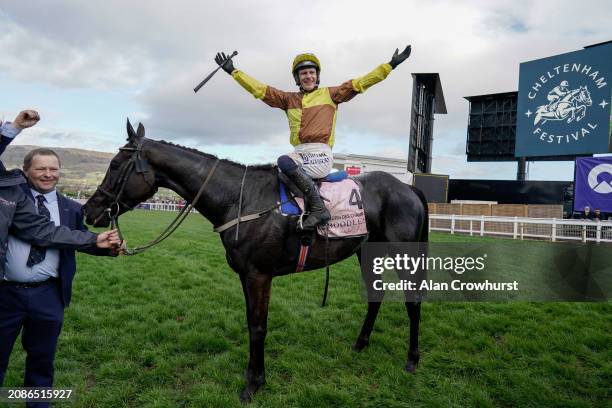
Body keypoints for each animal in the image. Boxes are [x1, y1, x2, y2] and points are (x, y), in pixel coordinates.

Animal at [82, 120, 430, 402]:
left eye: (116, 164)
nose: (89, 210)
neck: (239, 197)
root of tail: (408, 188)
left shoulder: (259, 275)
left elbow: (258, 327)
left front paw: (253, 384)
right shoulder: (245, 275)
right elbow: (252, 323)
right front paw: (254, 377)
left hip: (403, 254)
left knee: (412, 302)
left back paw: (412, 359)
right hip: (366, 252)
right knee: (375, 296)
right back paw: (360, 344)